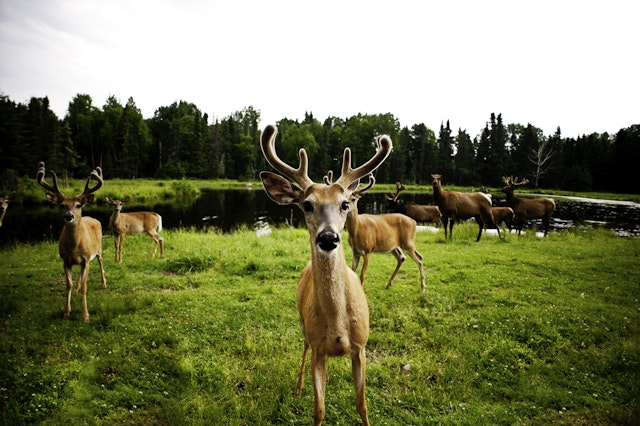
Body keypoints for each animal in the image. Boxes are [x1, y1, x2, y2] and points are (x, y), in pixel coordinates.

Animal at [36, 161, 106, 322]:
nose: (69, 216)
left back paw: (103, 283)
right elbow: (68, 284)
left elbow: (86, 286)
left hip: (98, 248)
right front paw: (66, 312)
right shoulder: (65, 259)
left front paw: (85, 316)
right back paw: (77, 289)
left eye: (78, 205)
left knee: (100, 262)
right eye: (62, 205)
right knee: (80, 275)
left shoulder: (86, 258)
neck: (74, 248)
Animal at [258, 124, 390, 426]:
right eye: (306, 204)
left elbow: (362, 404)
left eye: (344, 204)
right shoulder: (318, 346)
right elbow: (319, 409)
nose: (328, 237)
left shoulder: (360, 346)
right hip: (303, 324)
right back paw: (298, 387)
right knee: (304, 349)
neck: (338, 325)